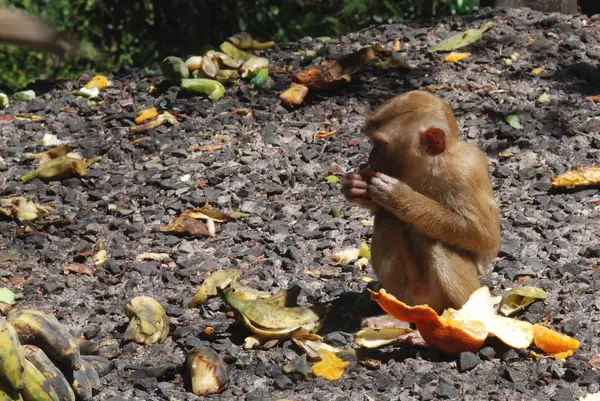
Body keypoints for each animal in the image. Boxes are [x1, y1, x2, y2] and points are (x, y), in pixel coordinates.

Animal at [342, 90, 502, 316]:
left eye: (380, 144)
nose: (370, 156)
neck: (431, 165)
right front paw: (354, 186)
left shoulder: (465, 173)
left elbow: (484, 236)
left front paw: (400, 196)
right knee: (387, 219)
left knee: (437, 243)